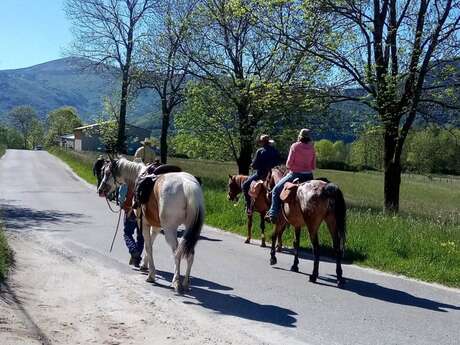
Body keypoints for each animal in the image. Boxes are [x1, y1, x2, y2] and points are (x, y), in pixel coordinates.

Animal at [99, 157, 205, 292]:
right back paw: (186, 283)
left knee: (177, 253)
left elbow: (148, 246)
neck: (139, 175)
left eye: (107, 172)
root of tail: (187, 184)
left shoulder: (144, 223)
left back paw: (176, 282)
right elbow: (150, 242)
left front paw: (151, 275)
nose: (100, 190)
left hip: (170, 229)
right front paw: (145, 265)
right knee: (190, 253)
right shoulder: (156, 225)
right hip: (190, 229)